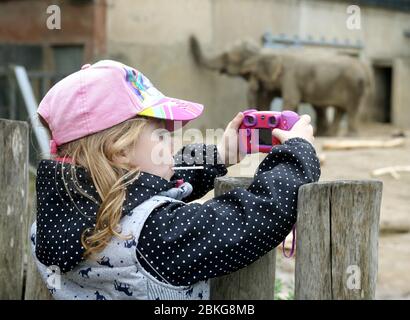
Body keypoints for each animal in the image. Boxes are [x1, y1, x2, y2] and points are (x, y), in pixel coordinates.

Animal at [191, 36, 374, 136]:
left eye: (227, 56)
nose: (191, 37)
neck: (264, 52)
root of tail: (366, 70)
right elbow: (267, 98)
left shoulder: (289, 76)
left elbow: (290, 99)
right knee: (338, 109)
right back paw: (328, 135)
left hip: (354, 86)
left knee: (350, 108)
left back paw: (348, 135)